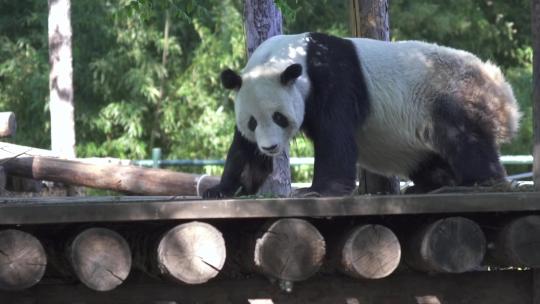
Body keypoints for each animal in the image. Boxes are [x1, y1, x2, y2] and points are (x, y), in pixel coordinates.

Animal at [202, 32, 520, 198]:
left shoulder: (334, 79)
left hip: (446, 95)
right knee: (431, 158)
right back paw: (431, 185)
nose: (269, 147)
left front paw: (318, 191)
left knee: (465, 140)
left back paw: (481, 181)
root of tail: (502, 91)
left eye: (280, 117)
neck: (294, 56)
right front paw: (223, 188)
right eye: (253, 122)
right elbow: (243, 149)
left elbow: (335, 136)